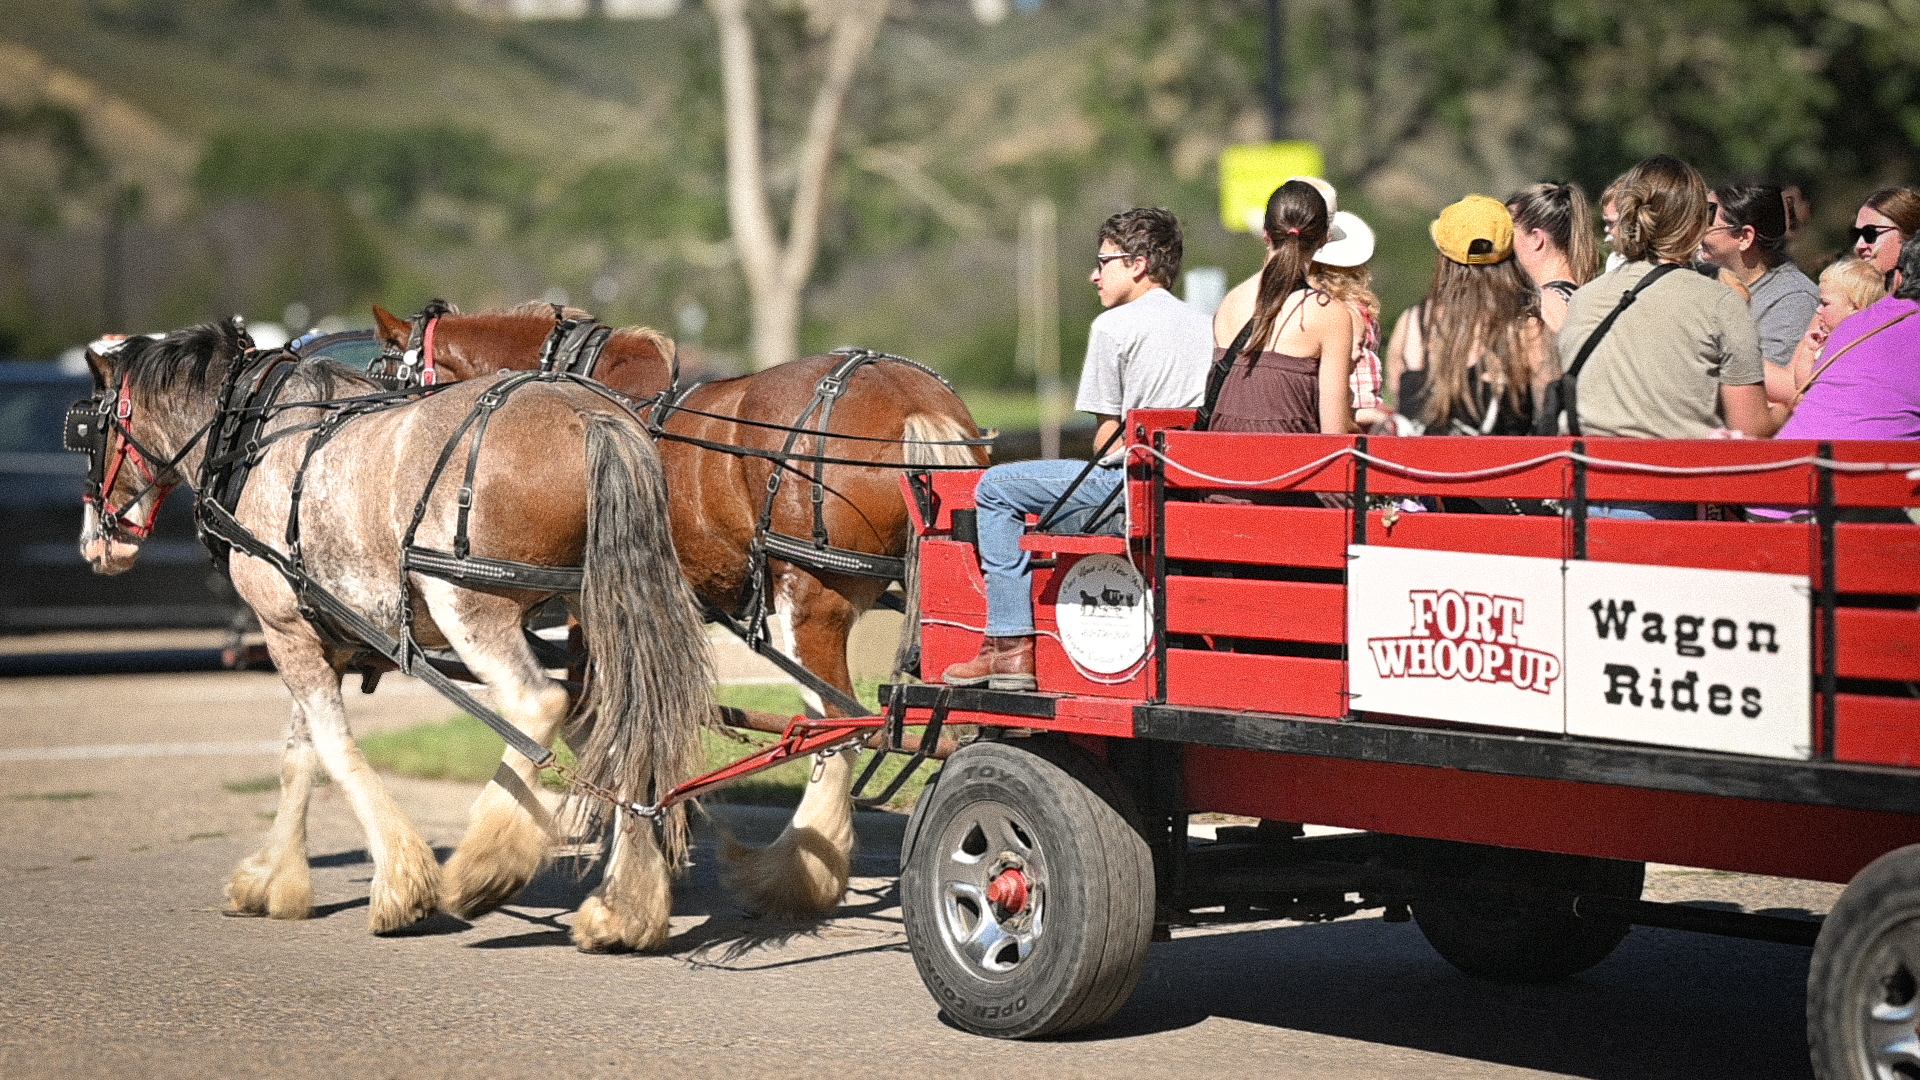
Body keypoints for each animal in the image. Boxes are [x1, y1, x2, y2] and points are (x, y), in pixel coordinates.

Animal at [72, 318, 713, 952]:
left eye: (86, 427)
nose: (96, 544)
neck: (254, 434)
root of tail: (589, 415)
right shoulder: (321, 637)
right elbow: (298, 756)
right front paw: (271, 880)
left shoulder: (285, 629)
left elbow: (334, 751)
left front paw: (400, 887)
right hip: (601, 605)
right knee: (623, 720)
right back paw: (624, 908)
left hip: (469, 607)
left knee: (542, 703)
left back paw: (484, 866)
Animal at [370, 301, 990, 917]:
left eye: (388, 375)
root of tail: (914, 401)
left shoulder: (591, 607)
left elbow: (607, 716)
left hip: (808, 599)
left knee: (834, 724)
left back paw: (792, 873)